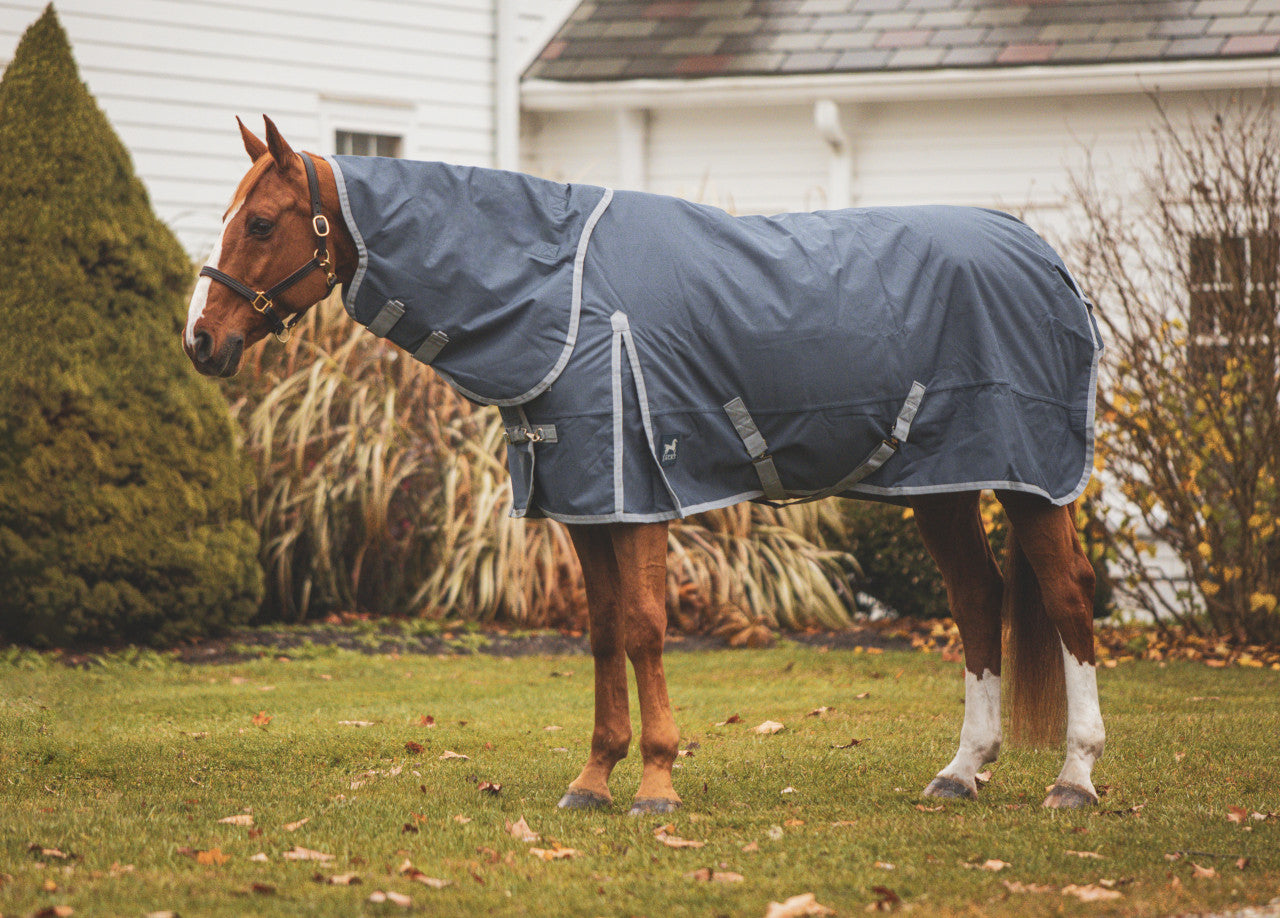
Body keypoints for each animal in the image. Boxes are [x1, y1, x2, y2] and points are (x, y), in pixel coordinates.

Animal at [185, 116, 1105, 814]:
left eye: (261, 222)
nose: (201, 341)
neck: (563, 292)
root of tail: (1046, 257)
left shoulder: (639, 498)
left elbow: (645, 629)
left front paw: (657, 784)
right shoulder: (587, 502)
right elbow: (600, 634)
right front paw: (594, 779)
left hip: (1032, 483)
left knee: (1066, 599)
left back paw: (1074, 779)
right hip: (943, 484)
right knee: (978, 600)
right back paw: (961, 772)